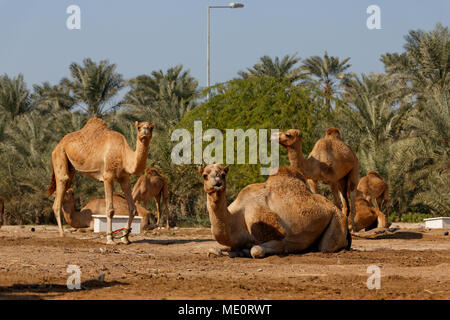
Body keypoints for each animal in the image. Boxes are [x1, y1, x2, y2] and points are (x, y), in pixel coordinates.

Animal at [199, 164, 350, 258]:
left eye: (223, 174)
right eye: (205, 175)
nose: (217, 183)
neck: (237, 218)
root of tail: (333, 207)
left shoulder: (280, 240)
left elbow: (256, 250)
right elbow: (213, 249)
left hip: (337, 219)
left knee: (327, 246)